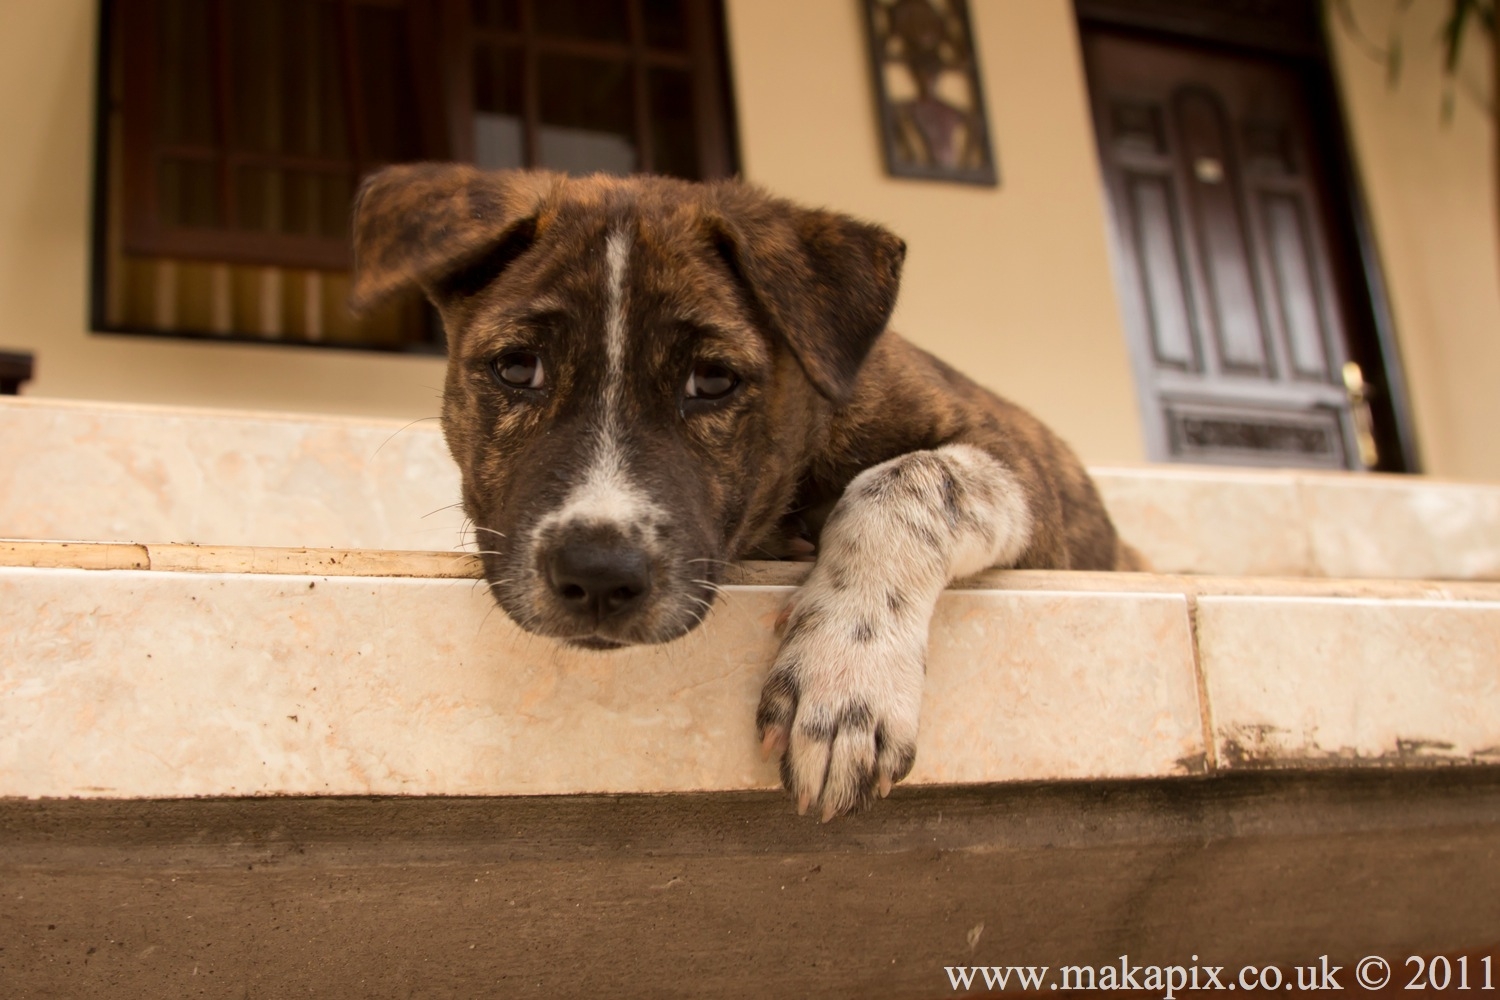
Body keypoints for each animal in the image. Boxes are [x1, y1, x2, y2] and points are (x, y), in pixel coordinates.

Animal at [351, 164, 1140, 821]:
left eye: (713, 381)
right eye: (518, 368)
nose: (598, 576)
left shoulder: (1031, 470)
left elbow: (908, 481)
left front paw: (846, 679)